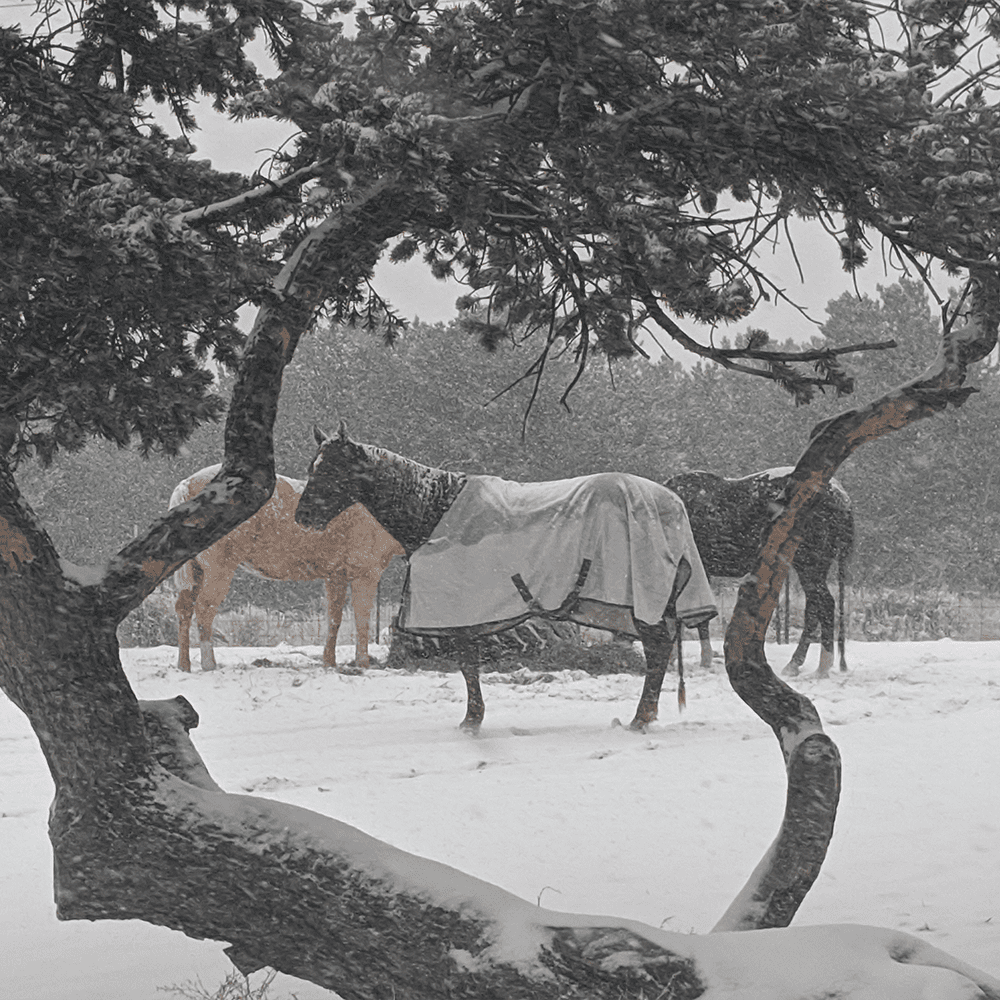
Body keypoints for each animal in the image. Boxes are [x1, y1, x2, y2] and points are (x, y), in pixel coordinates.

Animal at [171, 466, 402, 672]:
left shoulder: (336, 577)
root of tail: (186, 485)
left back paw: (184, 665)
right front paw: (362, 663)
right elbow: (362, 619)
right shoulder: (366, 575)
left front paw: (329, 662)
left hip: (195, 571)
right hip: (219, 569)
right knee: (204, 609)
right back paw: (209, 664)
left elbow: (334, 619)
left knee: (184, 609)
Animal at [292, 426, 716, 732]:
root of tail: (671, 502)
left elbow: (467, 664)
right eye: (313, 466)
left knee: (657, 650)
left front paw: (471, 721)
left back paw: (640, 719)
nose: (302, 517)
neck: (437, 508)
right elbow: (469, 664)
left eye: (331, 469)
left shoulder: (461, 610)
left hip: (644, 599)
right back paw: (645, 716)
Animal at [668, 470, 856, 680]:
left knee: (823, 605)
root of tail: (841, 496)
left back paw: (815, 666)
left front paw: (699, 660)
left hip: (810, 565)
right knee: (816, 608)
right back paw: (806, 664)